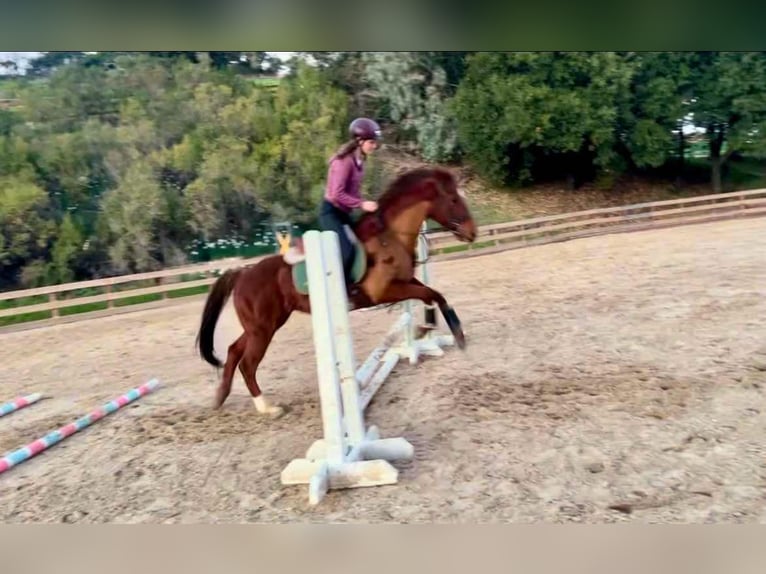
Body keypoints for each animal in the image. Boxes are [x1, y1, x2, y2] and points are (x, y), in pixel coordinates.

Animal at [194, 166, 478, 417]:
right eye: (453, 199)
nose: (472, 233)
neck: (390, 236)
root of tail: (243, 272)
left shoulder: (405, 282)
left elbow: (433, 293)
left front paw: (432, 328)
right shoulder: (385, 291)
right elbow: (430, 294)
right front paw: (448, 331)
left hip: (262, 326)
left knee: (233, 351)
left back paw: (220, 397)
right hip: (263, 329)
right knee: (248, 363)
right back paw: (267, 408)